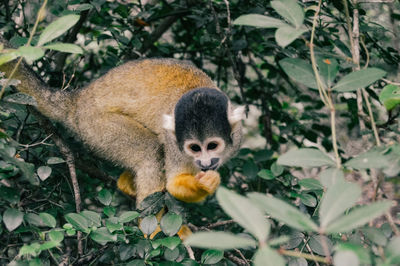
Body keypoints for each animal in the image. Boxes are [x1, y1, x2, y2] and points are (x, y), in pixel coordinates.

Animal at [0, 44, 244, 204]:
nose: (205, 163)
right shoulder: (175, 142)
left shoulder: (237, 138)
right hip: (97, 127)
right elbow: (175, 184)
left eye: (212, 146)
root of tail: (78, 100)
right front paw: (205, 184)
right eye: (194, 148)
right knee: (149, 152)